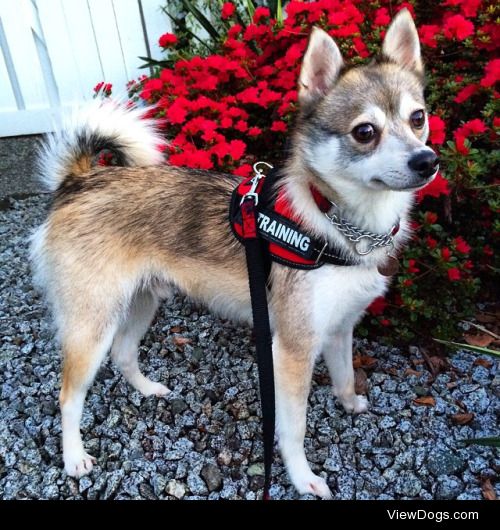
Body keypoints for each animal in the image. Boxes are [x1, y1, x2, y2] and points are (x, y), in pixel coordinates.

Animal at [32, 10, 438, 498]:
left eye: (418, 118)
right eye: (365, 132)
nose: (427, 161)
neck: (338, 222)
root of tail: (80, 181)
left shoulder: (340, 328)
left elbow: (343, 376)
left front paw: (351, 403)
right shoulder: (293, 349)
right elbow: (293, 428)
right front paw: (302, 478)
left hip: (141, 301)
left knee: (124, 354)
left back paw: (148, 389)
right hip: (90, 324)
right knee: (68, 396)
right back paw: (74, 457)